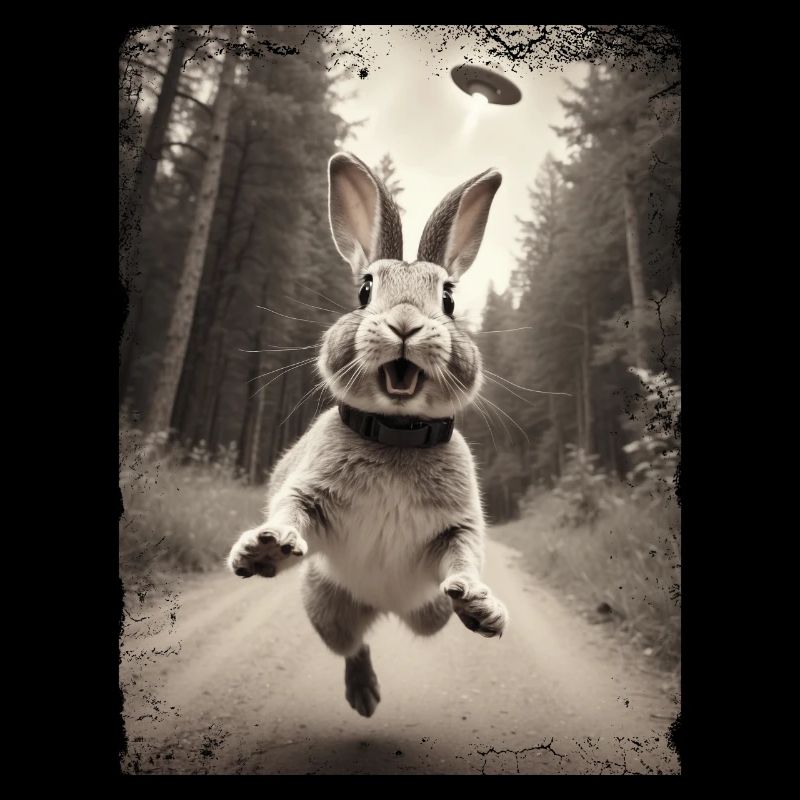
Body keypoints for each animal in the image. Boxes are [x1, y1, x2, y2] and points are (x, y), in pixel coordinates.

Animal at [227, 152, 509, 718]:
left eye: (448, 298)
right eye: (364, 289)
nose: (404, 324)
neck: (395, 434)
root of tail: (382, 606)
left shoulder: (458, 527)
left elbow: (464, 556)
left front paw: (479, 602)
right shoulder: (308, 491)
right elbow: (289, 512)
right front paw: (264, 549)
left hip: (428, 612)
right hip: (325, 604)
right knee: (352, 644)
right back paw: (363, 694)